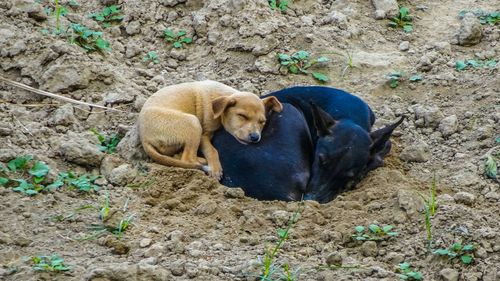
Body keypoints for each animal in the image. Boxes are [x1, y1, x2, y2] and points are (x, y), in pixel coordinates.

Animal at [139, 80, 284, 178]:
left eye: (262, 122)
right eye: (242, 116)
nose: (255, 137)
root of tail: (144, 137)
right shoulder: (204, 134)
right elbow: (212, 150)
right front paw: (215, 168)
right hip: (193, 122)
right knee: (187, 159)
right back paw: (203, 162)